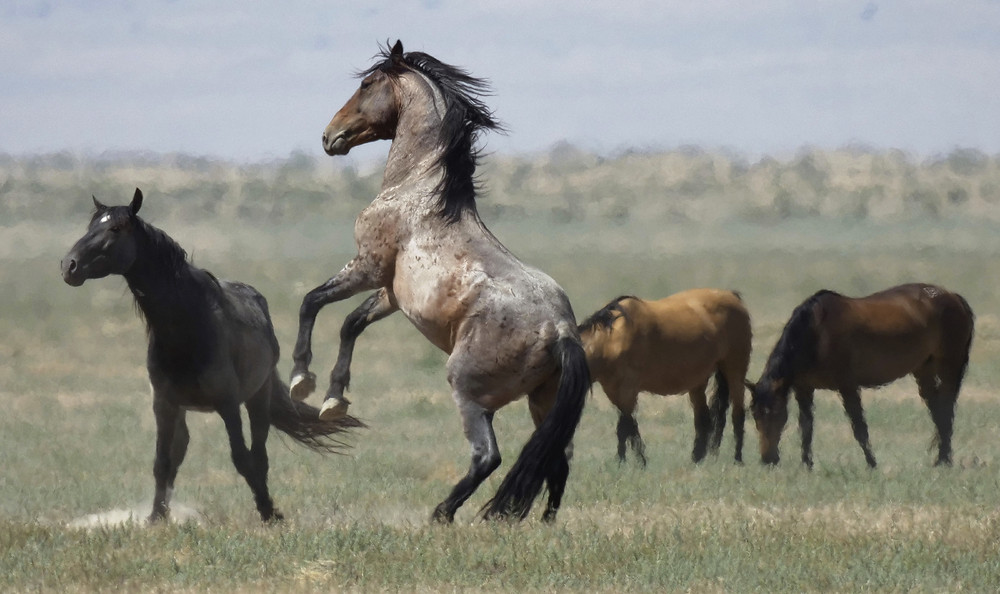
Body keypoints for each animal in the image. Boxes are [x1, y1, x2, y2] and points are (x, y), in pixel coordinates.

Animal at [61, 188, 364, 520]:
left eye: (115, 228)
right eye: (91, 226)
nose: (68, 265)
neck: (188, 326)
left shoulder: (228, 404)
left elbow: (242, 458)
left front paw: (268, 510)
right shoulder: (164, 404)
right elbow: (162, 462)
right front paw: (155, 518)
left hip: (257, 397)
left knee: (259, 453)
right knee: (180, 451)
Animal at [286, 41, 588, 520]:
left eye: (367, 84)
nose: (329, 136)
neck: (419, 190)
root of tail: (561, 331)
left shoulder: (367, 267)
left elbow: (311, 302)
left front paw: (301, 379)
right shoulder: (390, 294)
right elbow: (351, 324)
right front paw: (334, 399)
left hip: (468, 392)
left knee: (489, 457)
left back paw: (442, 513)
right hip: (542, 403)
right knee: (556, 457)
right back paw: (540, 523)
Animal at [580, 290, 752, 464]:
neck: (610, 341)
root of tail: (732, 295)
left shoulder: (628, 390)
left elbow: (625, 427)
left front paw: (633, 462)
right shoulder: (613, 391)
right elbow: (627, 426)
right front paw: (629, 461)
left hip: (735, 372)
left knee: (738, 414)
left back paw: (737, 459)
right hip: (699, 382)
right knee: (704, 419)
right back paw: (697, 459)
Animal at [748, 282, 972, 468]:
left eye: (775, 412)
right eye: (755, 414)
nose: (767, 459)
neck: (816, 333)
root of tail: (955, 297)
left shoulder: (847, 386)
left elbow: (859, 427)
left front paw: (872, 463)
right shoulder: (804, 388)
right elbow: (806, 427)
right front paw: (806, 464)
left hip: (949, 367)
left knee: (946, 409)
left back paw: (944, 460)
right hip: (923, 369)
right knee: (937, 410)